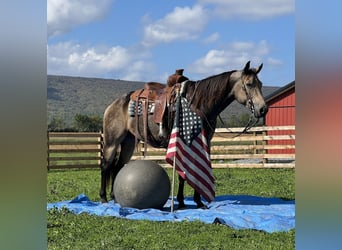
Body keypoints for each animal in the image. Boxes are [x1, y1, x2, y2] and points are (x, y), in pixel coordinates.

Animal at [99, 61, 268, 209]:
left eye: (260, 84)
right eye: (249, 84)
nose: (263, 109)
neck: (199, 104)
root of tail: (114, 104)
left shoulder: (204, 141)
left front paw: (196, 202)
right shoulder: (184, 141)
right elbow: (183, 173)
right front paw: (182, 202)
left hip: (127, 142)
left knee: (118, 167)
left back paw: (115, 198)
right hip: (111, 142)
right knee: (106, 166)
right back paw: (103, 198)